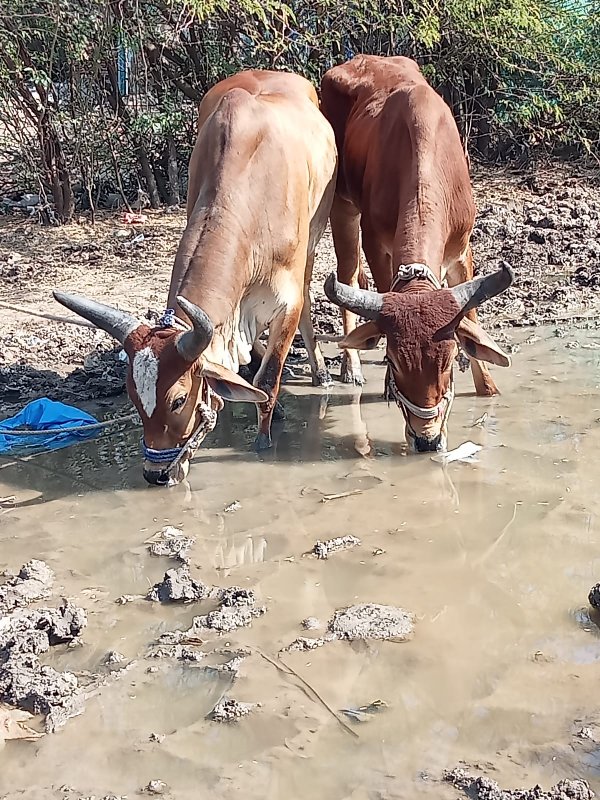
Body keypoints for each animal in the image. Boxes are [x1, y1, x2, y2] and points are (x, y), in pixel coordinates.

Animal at [53, 69, 338, 484]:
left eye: (178, 400)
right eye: (132, 397)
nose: (155, 474)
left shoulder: (287, 299)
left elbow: (268, 377)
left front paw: (263, 441)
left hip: (315, 239)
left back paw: (322, 374)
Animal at [322, 56, 512, 454]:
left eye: (450, 360)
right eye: (394, 361)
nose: (428, 440)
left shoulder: (461, 249)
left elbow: (471, 313)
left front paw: (488, 388)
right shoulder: (375, 244)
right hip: (340, 205)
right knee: (347, 274)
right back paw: (352, 367)